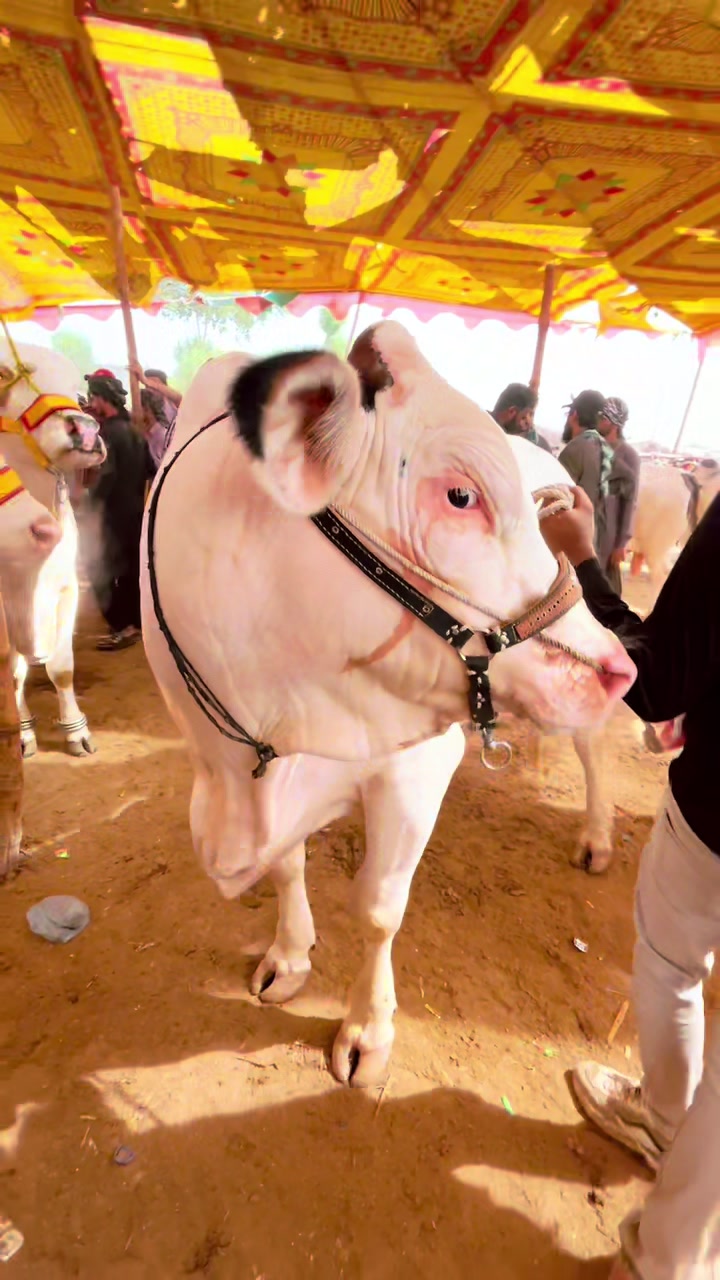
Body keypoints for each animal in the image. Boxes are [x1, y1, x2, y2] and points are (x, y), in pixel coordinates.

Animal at [0, 342, 105, 756]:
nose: (87, 431)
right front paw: (24, 734)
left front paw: (77, 732)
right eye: (5, 373)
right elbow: (13, 675)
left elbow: (61, 668)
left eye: (78, 391)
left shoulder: (67, 587)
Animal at [141, 323, 635, 1086]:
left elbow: (376, 908)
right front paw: (288, 957)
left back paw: (598, 835)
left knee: (592, 744)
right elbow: (287, 867)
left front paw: (365, 1031)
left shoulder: (413, 767)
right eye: (460, 496)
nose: (617, 671)